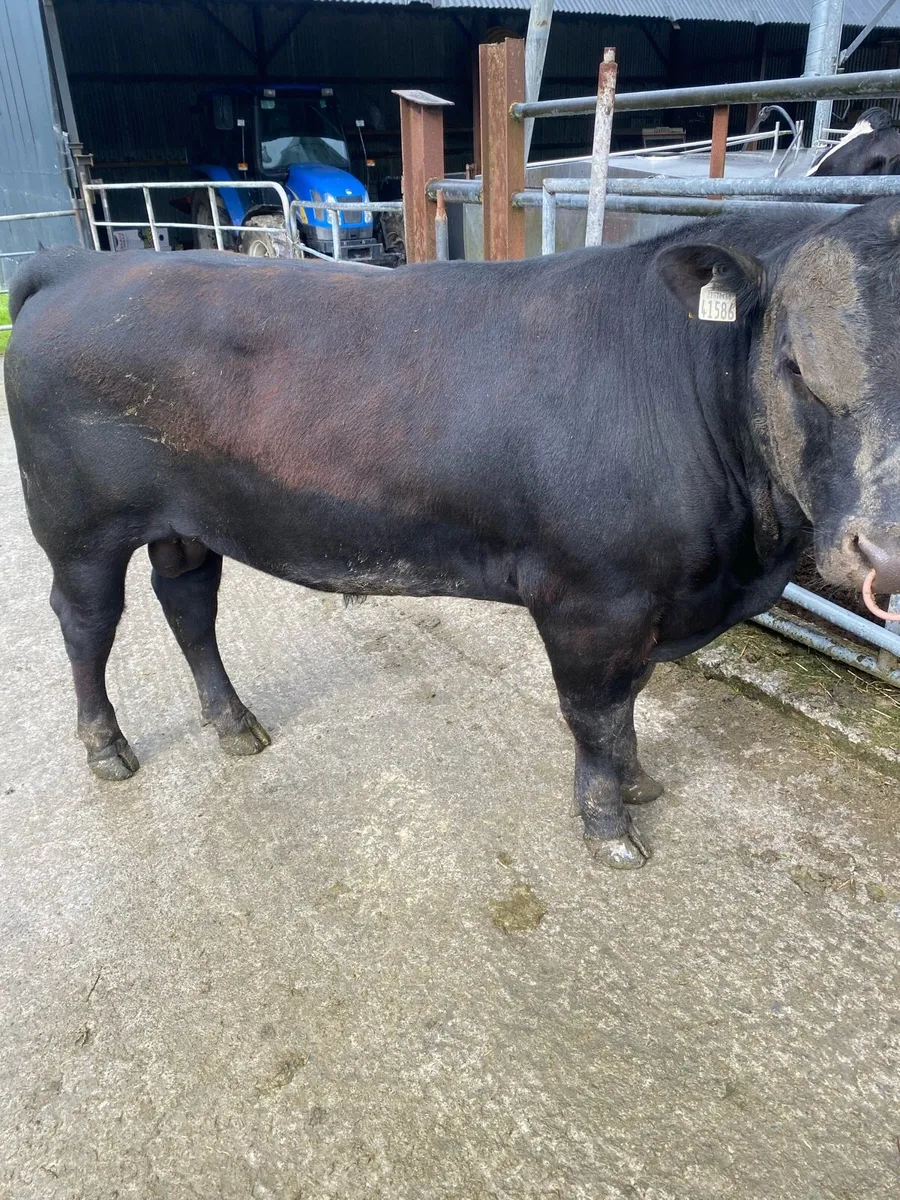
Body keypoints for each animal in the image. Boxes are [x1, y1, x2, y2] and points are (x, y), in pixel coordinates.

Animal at [5, 199, 900, 869]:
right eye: (796, 368)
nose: (883, 552)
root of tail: (80, 263)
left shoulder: (644, 605)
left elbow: (630, 705)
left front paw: (639, 783)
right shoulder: (591, 600)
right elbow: (596, 715)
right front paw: (609, 826)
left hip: (184, 521)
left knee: (188, 602)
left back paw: (234, 724)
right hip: (77, 526)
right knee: (87, 624)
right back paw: (107, 747)